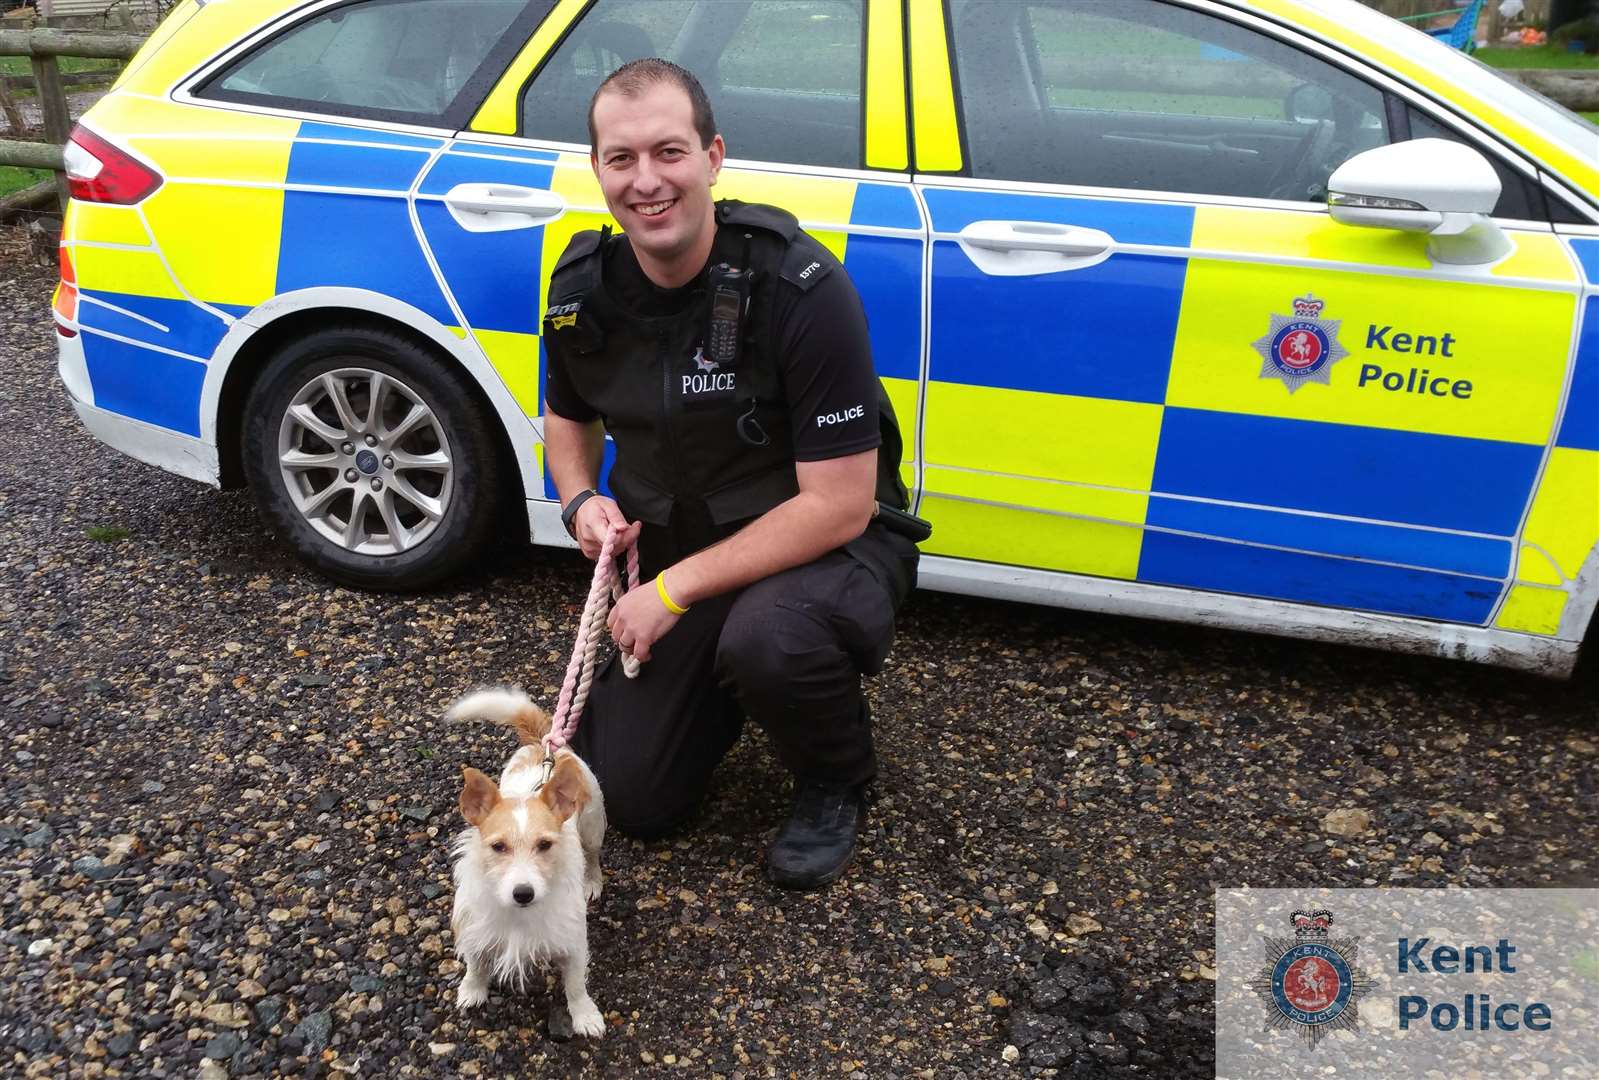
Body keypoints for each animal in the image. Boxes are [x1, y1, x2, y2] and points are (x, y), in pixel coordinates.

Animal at [444, 688, 604, 1036]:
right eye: (498, 846)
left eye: (544, 845)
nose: (523, 893)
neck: (519, 915)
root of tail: (545, 746)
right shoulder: (475, 930)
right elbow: (476, 966)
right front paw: (472, 990)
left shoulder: (572, 942)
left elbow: (576, 985)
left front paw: (585, 1015)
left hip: (593, 827)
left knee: (593, 856)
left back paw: (592, 880)